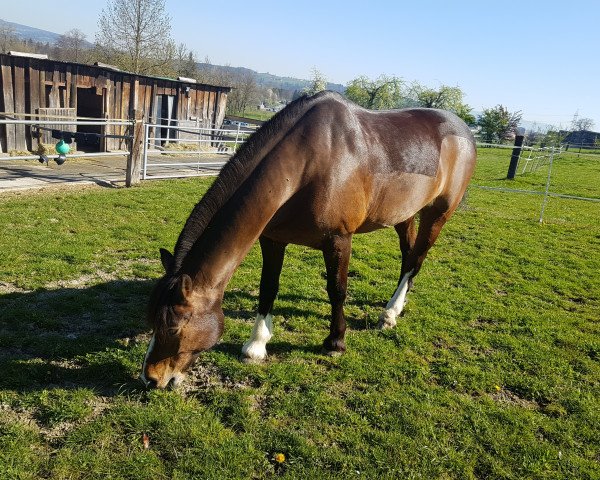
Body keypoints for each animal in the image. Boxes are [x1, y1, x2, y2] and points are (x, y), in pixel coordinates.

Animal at [139, 91, 474, 390]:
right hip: (404, 214)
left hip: (437, 215)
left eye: (174, 326)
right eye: (151, 318)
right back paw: (397, 306)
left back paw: (390, 314)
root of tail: (466, 133)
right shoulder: (273, 240)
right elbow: (268, 288)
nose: (151, 378)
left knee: (416, 259)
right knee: (408, 256)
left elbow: (337, 291)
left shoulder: (339, 240)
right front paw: (256, 345)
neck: (308, 162)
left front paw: (335, 342)